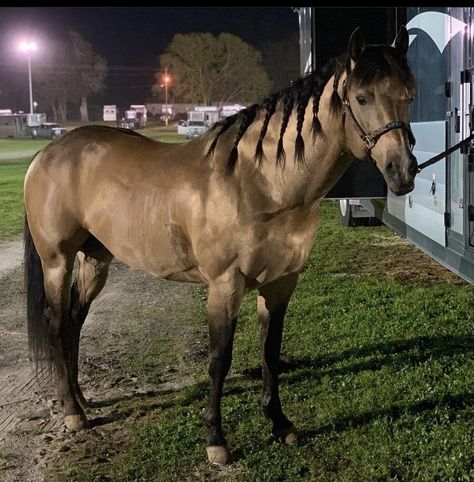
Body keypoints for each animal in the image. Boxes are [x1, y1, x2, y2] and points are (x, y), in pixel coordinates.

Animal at [23, 28, 414, 466]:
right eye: (362, 98)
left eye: (409, 94)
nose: (403, 171)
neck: (261, 183)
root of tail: (48, 154)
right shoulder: (224, 285)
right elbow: (219, 360)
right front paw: (216, 440)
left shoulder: (281, 283)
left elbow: (270, 353)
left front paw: (280, 424)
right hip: (57, 261)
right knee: (57, 323)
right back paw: (72, 413)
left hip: (95, 259)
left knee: (75, 319)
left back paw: (82, 400)